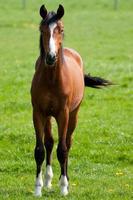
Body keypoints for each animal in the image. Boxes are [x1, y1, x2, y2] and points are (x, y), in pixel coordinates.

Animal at [30, 3, 110, 196]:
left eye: (61, 29)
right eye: (42, 29)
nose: (51, 57)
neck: (52, 79)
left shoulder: (63, 113)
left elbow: (63, 149)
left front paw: (64, 187)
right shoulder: (38, 113)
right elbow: (40, 150)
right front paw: (38, 188)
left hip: (74, 114)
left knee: (67, 142)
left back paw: (63, 180)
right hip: (48, 116)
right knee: (50, 142)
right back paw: (48, 181)